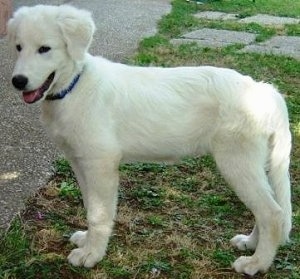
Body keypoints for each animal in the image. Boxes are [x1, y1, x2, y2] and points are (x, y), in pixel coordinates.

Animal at [7, 4, 292, 276]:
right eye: (18, 47)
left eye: (45, 49)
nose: (18, 81)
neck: (75, 86)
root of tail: (263, 89)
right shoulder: (80, 162)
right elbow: (90, 206)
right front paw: (87, 241)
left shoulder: (100, 162)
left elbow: (99, 214)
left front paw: (92, 254)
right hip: (254, 163)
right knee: (267, 210)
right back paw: (251, 243)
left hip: (237, 161)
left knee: (273, 213)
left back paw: (257, 263)